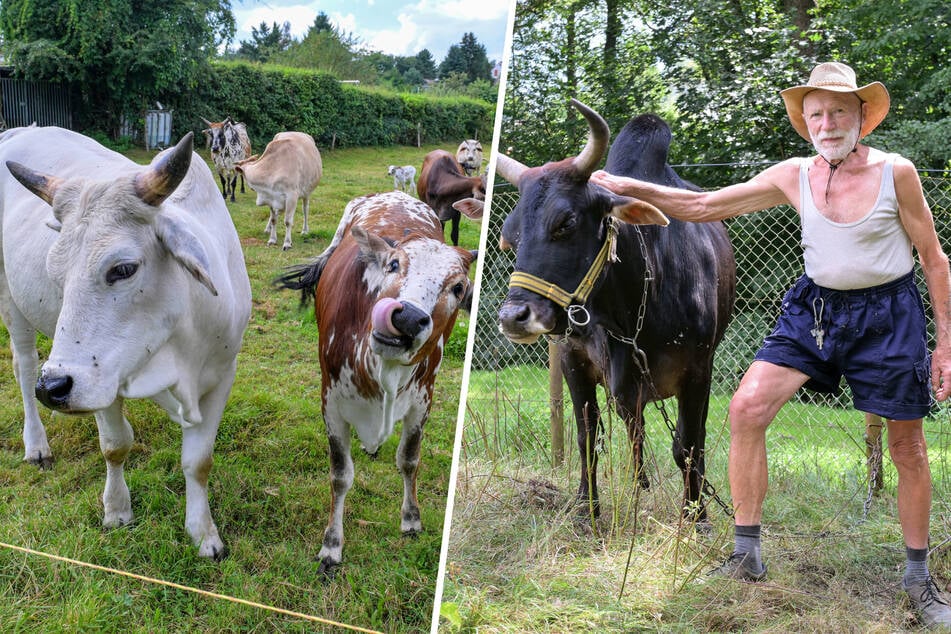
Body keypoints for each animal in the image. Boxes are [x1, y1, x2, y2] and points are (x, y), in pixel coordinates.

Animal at [0, 127, 253, 556]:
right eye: (55, 272)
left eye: (123, 269)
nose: (53, 389)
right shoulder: (100, 381)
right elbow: (115, 446)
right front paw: (117, 510)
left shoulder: (221, 375)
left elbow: (198, 461)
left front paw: (204, 534)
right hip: (11, 302)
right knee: (24, 365)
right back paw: (36, 443)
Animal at [278, 190, 480, 576]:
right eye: (394, 265)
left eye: (458, 287)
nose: (409, 318)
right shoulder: (331, 404)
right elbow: (340, 474)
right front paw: (331, 545)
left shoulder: (422, 401)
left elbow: (409, 459)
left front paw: (411, 519)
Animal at [494, 100, 740, 524]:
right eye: (511, 235)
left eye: (565, 222)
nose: (514, 317)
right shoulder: (574, 363)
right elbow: (587, 436)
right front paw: (586, 507)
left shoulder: (699, 371)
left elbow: (688, 445)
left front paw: (695, 516)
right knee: (633, 426)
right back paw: (637, 482)